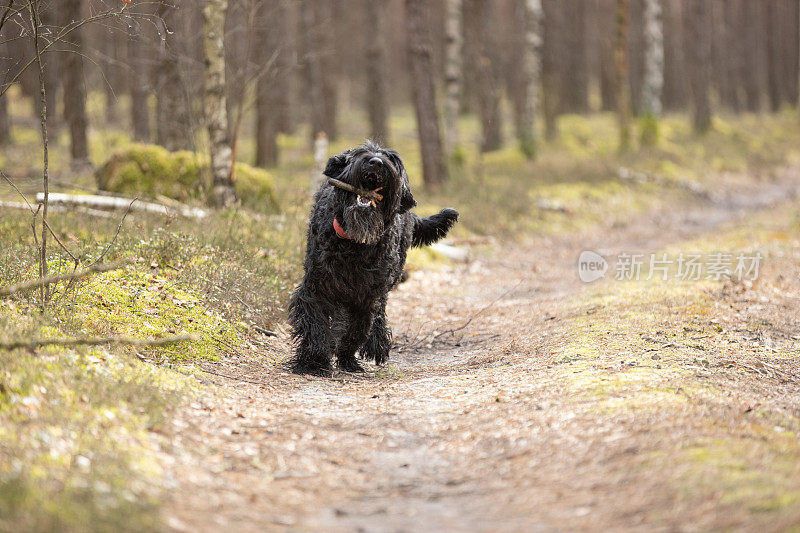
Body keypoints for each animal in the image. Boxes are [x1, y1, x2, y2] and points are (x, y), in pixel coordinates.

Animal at [290, 141, 460, 374]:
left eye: (393, 160)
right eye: (361, 153)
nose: (377, 162)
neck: (354, 243)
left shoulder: (367, 295)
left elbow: (357, 330)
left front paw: (346, 357)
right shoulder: (318, 285)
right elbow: (315, 323)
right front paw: (313, 362)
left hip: (387, 282)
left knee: (376, 314)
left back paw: (374, 343)